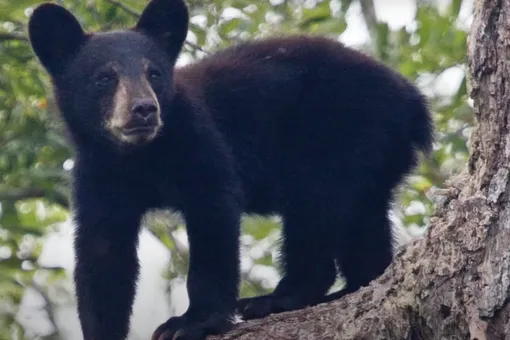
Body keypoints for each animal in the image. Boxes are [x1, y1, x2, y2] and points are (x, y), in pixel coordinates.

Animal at [27, 0, 432, 338]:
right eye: (104, 78)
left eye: (154, 73)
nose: (144, 109)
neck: (140, 157)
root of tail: (413, 101)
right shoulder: (98, 175)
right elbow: (103, 255)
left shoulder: (200, 141)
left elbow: (214, 218)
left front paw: (189, 322)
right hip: (373, 154)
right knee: (363, 222)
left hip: (341, 137)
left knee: (315, 211)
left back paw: (274, 299)